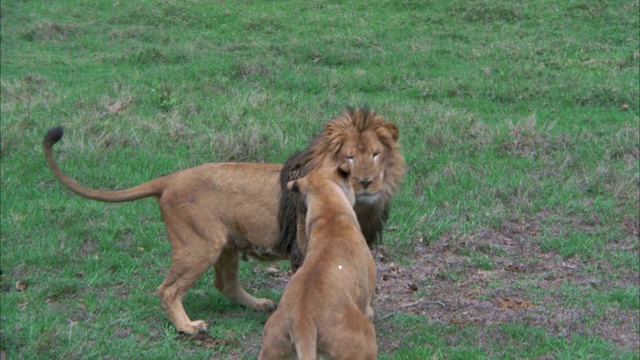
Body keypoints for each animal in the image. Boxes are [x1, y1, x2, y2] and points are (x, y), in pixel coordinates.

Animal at [42, 106, 404, 334]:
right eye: (349, 158)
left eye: (375, 154)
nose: (367, 182)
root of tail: (171, 178)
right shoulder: (305, 252)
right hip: (200, 245)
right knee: (167, 290)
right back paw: (188, 327)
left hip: (226, 244)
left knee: (225, 284)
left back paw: (259, 305)